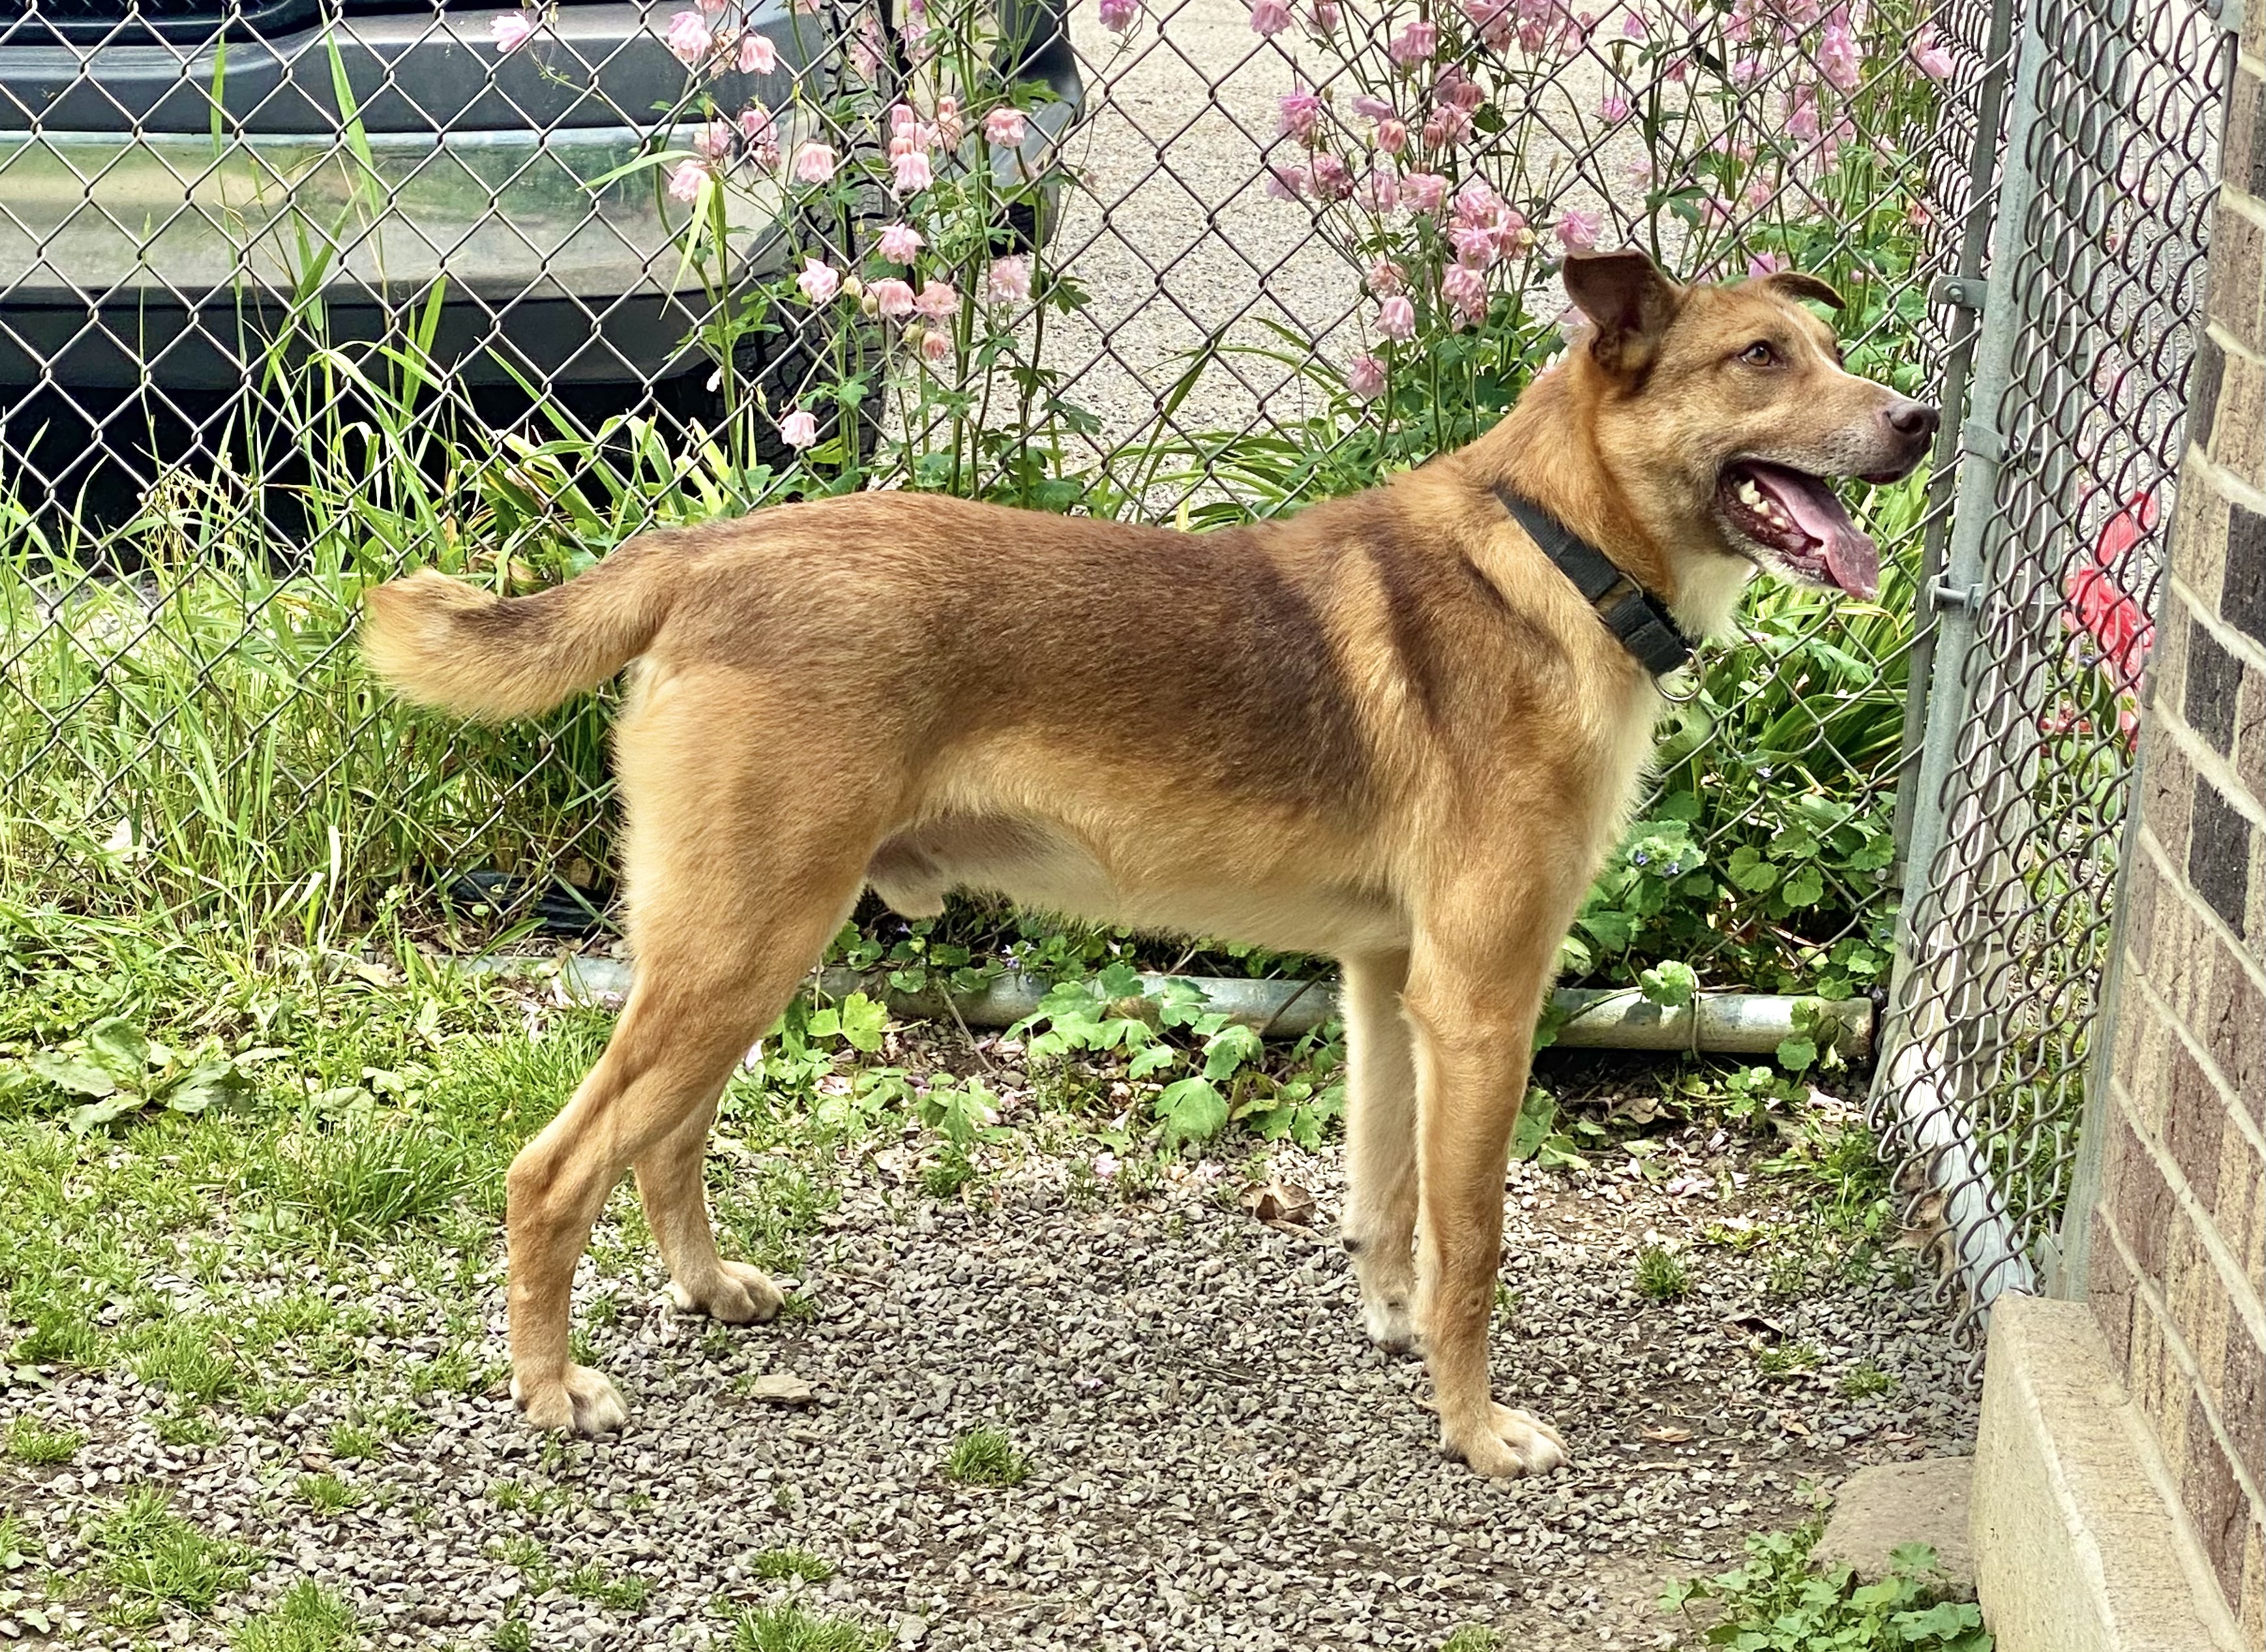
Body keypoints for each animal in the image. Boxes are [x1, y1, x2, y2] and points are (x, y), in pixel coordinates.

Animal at [366, 251, 1930, 1477]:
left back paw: (705, 1289)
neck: (1556, 552)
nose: (1917, 420)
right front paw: (1476, 1429)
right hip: (741, 945)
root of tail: (702, 550)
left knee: (664, 1137)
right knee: (553, 1167)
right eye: (1761, 358)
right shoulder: (1485, 1004)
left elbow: (1386, 1197)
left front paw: (1397, 1328)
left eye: (1822, 348)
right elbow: (1476, 1236)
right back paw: (551, 1390)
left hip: (745, 948)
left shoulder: (1389, 985)